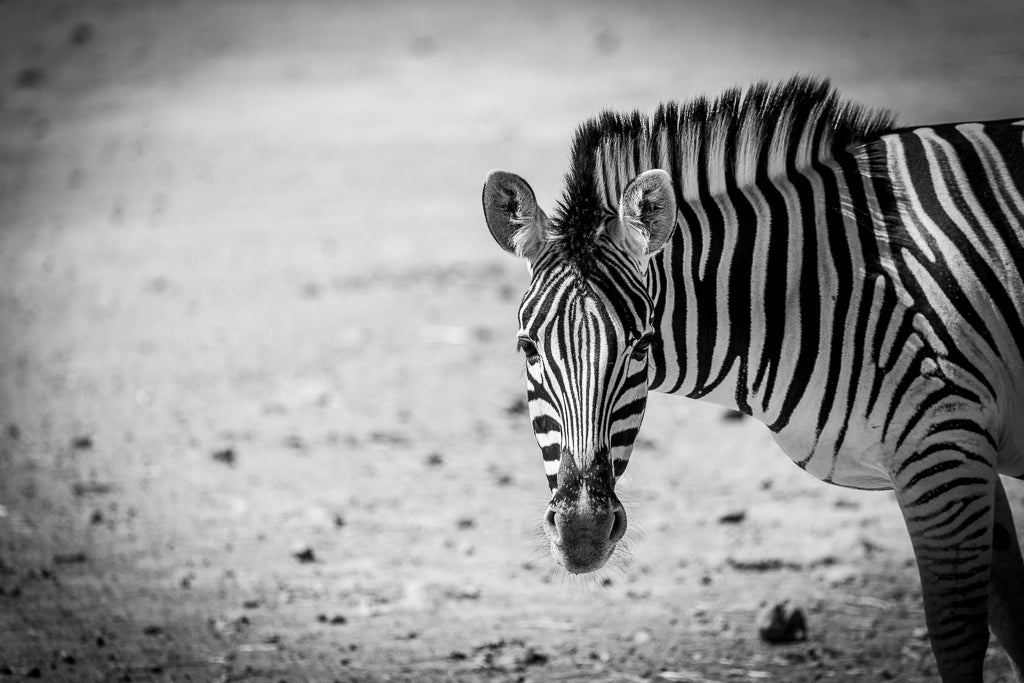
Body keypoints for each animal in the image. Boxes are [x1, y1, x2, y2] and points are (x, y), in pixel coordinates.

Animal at [479, 77, 1024, 679]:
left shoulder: (943, 449)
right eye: (527, 347)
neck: (826, 284)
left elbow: (957, 633)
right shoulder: (964, 453)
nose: (581, 533)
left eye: (641, 346)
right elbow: (1014, 619)